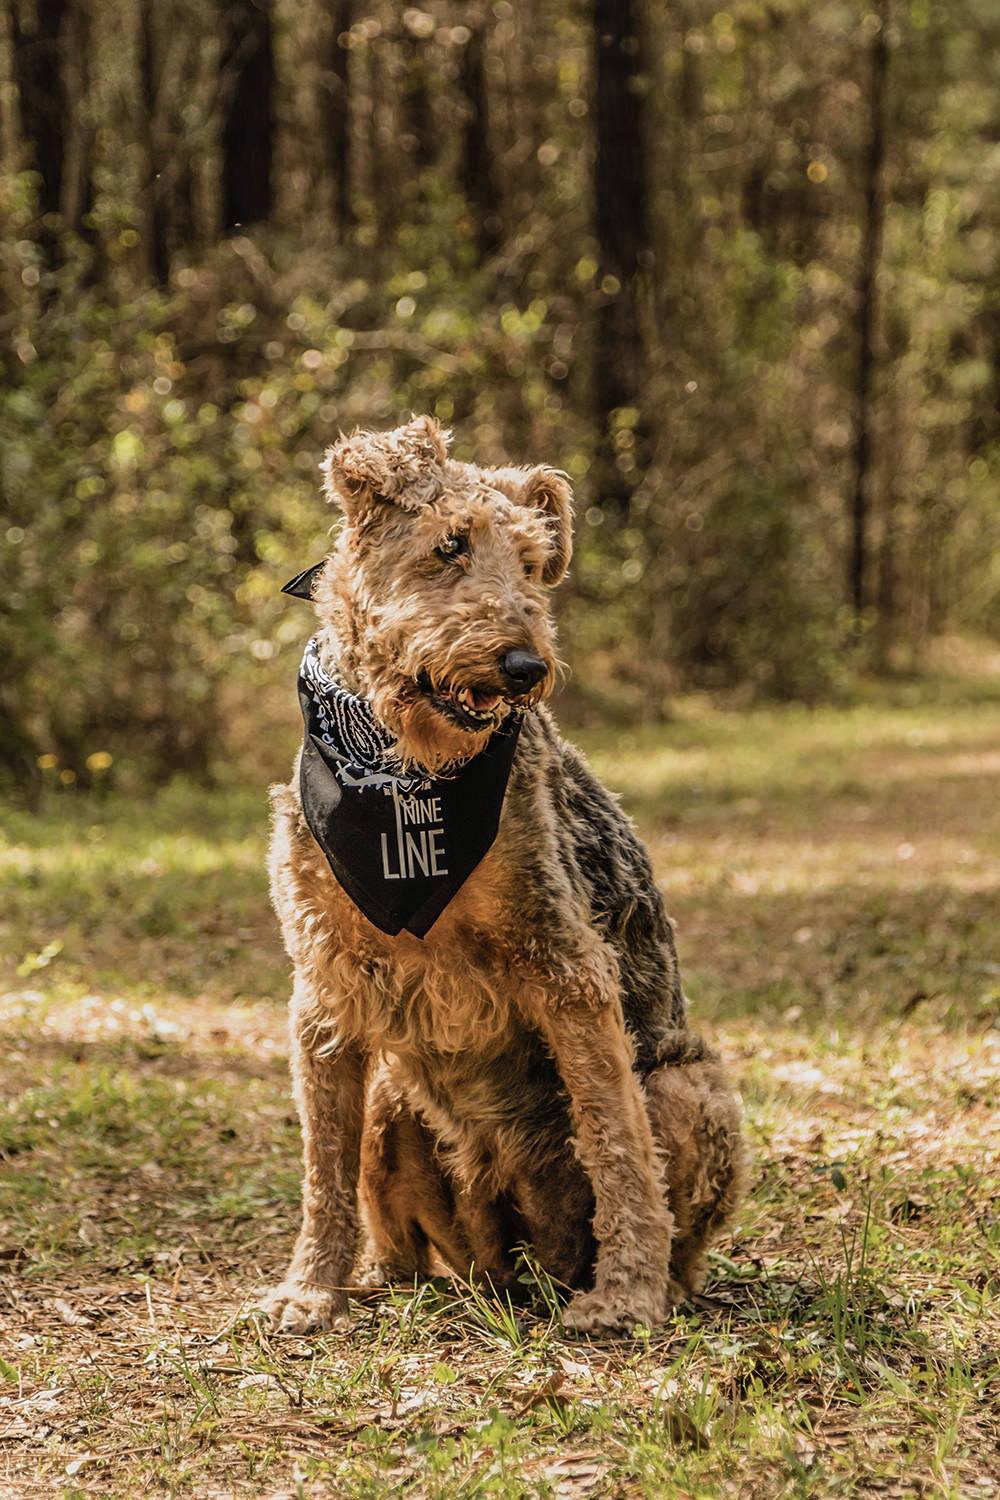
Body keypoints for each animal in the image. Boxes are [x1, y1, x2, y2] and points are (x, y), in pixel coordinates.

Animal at [262, 414, 746, 1338]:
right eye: (450, 545)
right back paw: (378, 1279)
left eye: (530, 562)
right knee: (401, 1241)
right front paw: (309, 1289)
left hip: (687, 1086)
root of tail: (515, 1267)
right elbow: (322, 1169)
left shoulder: (565, 965)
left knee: (673, 1219)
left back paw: (650, 1285)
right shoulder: (327, 988)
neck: (403, 771)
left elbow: (615, 1143)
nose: (525, 665)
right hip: (393, 1101)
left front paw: (624, 1296)